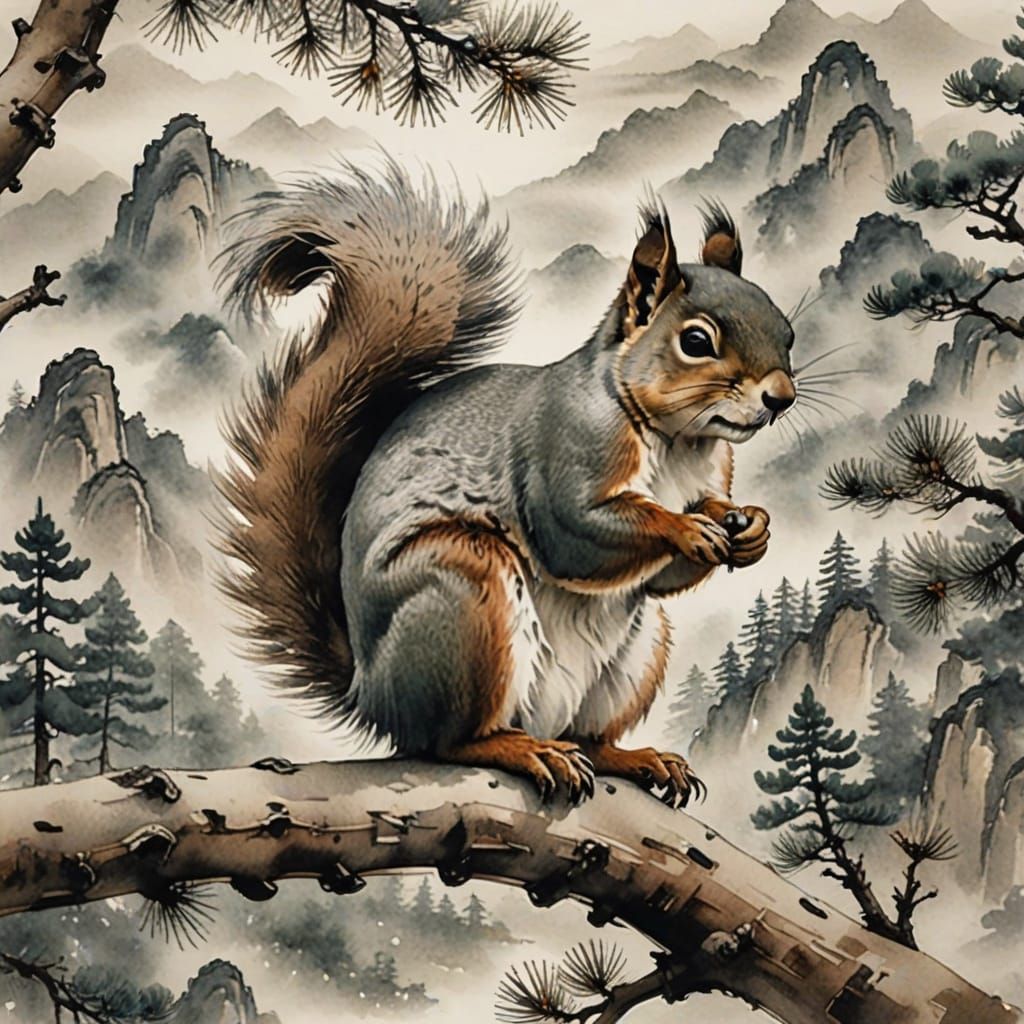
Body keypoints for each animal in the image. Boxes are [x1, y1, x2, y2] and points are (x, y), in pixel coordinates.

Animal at [216, 160, 796, 808]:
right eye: (696, 341)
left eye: (787, 332)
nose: (781, 398)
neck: (679, 441)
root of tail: (371, 692)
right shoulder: (562, 453)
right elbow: (577, 533)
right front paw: (685, 529)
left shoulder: (710, 478)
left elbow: (667, 572)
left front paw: (750, 528)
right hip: (464, 591)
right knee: (447, 742)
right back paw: (523, 750)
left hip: (637, 651)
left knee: (591, 735)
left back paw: (634, 757)